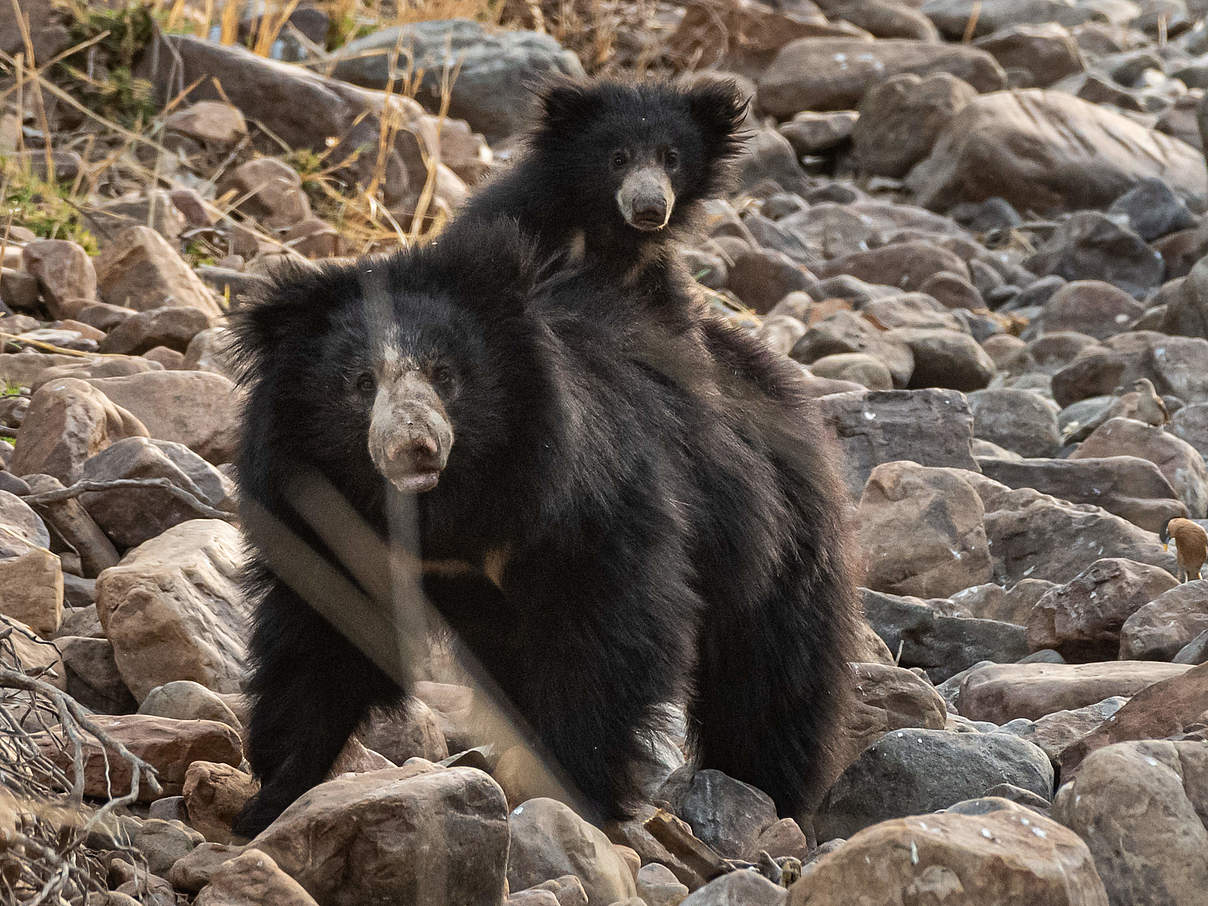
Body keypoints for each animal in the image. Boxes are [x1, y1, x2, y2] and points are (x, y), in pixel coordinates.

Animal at [454, 77, 860, 821]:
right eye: (616, 155)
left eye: (672, 157)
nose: (649, 206)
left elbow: (612, 646)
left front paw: (577, 779)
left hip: (784, 559)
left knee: (776, 681)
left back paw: (774, 787)